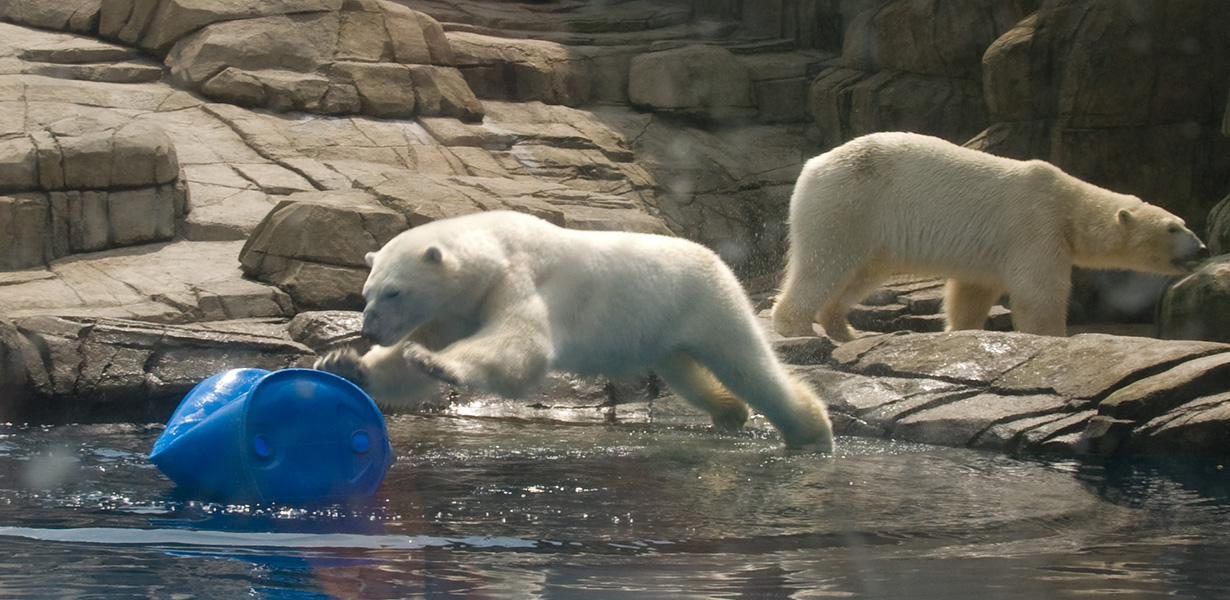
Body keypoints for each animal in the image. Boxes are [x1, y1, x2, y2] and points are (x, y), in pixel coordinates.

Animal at [317, 211, 836, 450]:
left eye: (394, 293)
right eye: (367, 292)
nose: (369, 329)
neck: (496, 248)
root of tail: (717, 258)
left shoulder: (520, 279)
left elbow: (522, 345)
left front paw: (435, 363)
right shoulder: (457, 309)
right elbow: (409, 358)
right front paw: (344, 363)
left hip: (708, 302)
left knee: (747, 365)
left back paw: (809, 432)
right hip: (664, 332)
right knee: (688, 373)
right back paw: (730, 413)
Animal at [772, 130, 1205, 341]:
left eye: (1183, 221)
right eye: (1172, 227)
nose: (1201, 248)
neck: (1066, 201)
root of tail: (813, 165)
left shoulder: (992, 255)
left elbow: (972, 293)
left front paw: (960, 331)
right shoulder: (1035, 227)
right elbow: (1040, 294)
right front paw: (1055, 337)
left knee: (857, 274)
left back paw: (844, 329)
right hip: (849, 204)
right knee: (825, 264)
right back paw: (795, 325)